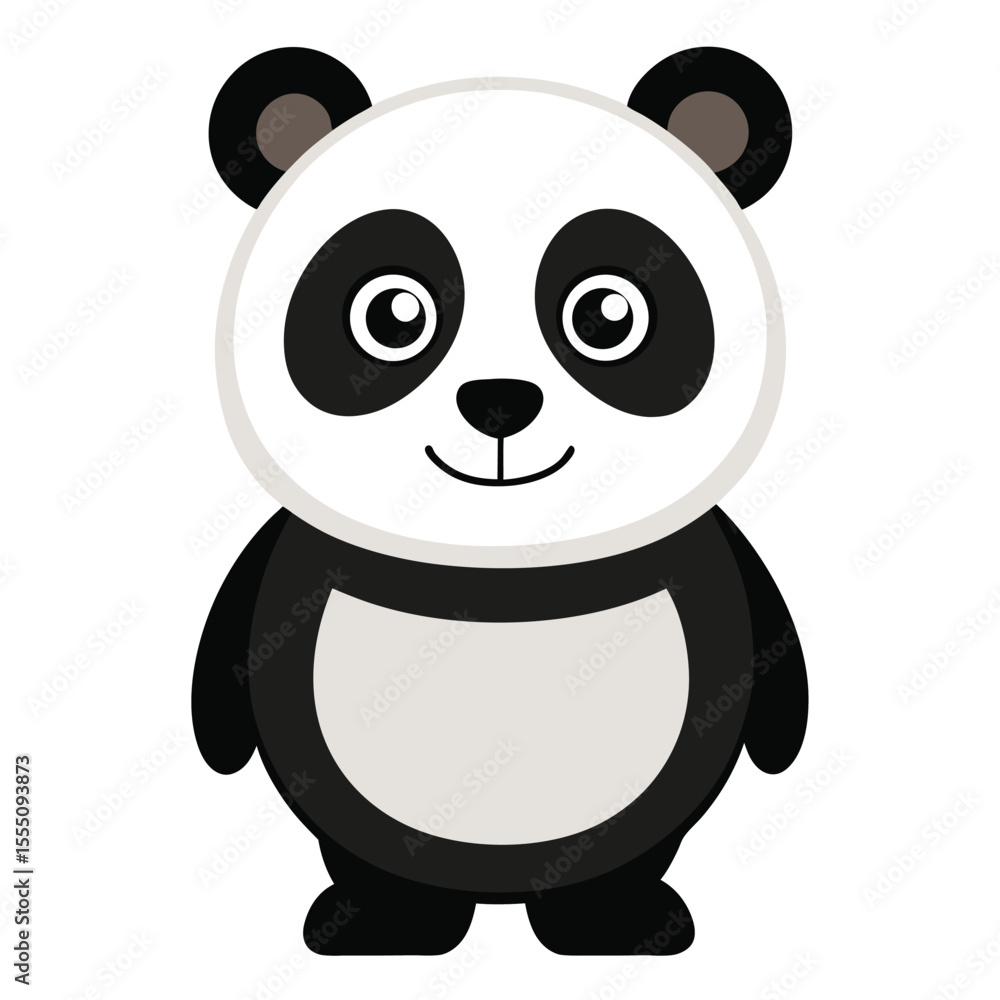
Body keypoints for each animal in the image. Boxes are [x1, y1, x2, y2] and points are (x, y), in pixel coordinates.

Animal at [193, 45, 808, 957]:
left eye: (607, 313)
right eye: (392, 313)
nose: (498, 403)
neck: (501, 559)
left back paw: (616, 921)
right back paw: (385, 922)